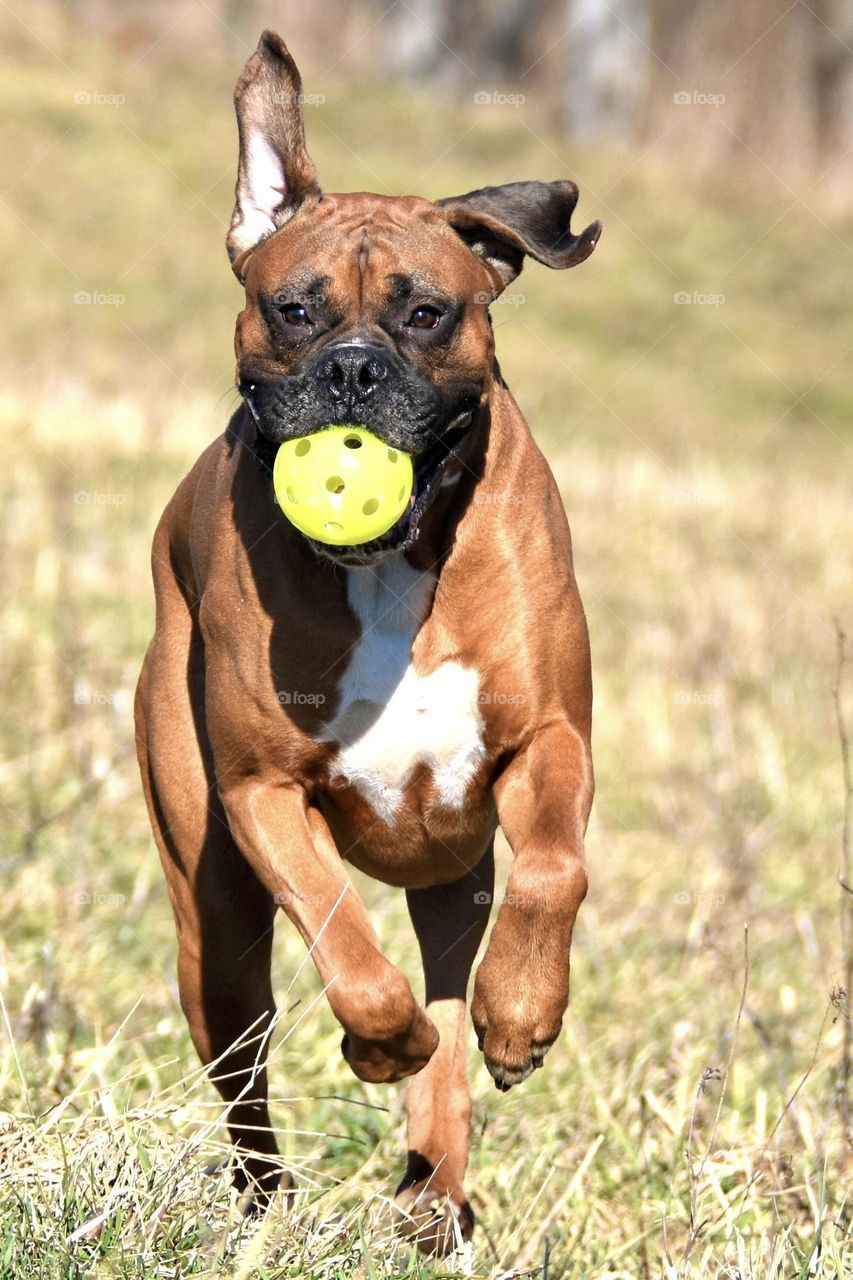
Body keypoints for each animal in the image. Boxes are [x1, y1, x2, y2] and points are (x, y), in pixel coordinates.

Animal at [134, 27, 596, 1249]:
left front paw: (522, 1014)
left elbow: (555, 870)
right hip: (214, 933)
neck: (392, 569)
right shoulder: (261, 793)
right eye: (293, 309)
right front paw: (377, 1040)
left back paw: (434, 1187)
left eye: (426, 312)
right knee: (249, 1070)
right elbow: (343, 934)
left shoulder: (549, 741)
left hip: (452, 880)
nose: (351, 367)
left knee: (451, 1010)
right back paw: (266, 1204)